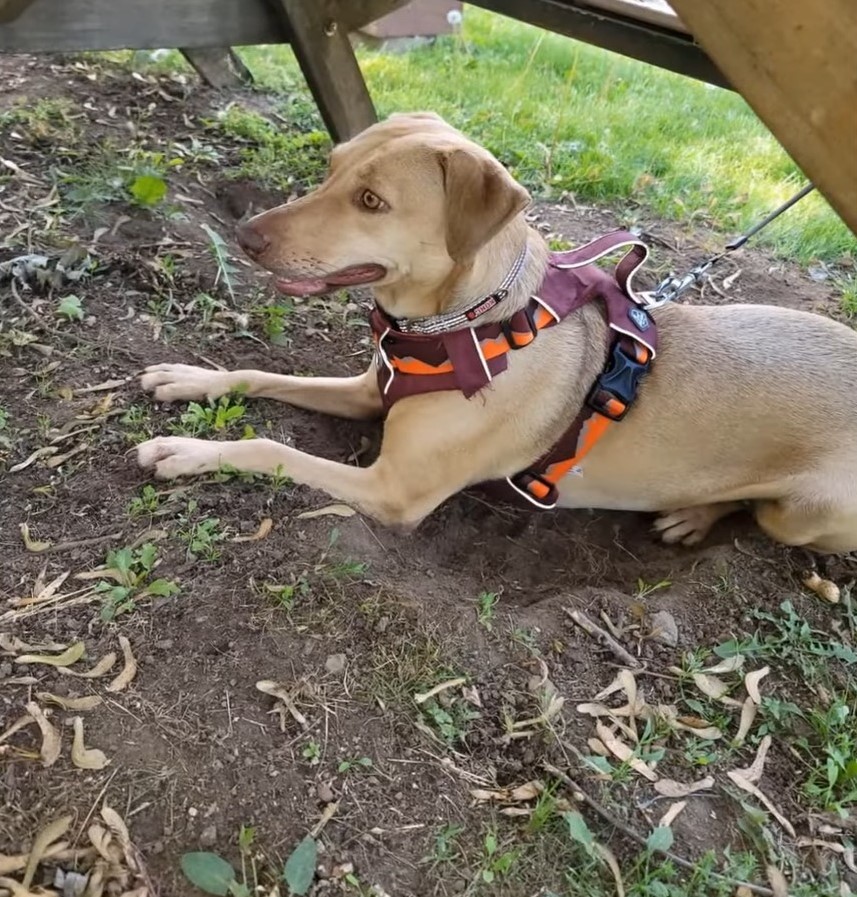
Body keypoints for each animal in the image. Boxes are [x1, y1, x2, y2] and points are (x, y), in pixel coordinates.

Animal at [137, 112, 856, 552]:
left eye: (371, 202)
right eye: (331, 166)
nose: (244, 235)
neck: (470, 320)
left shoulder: (392, 490)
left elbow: (268, 448)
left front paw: (187, 451)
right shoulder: (371, 392)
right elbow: (259, 373)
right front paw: (189, 378)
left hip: (805, 515)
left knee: (753, 510)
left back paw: (694, 513)